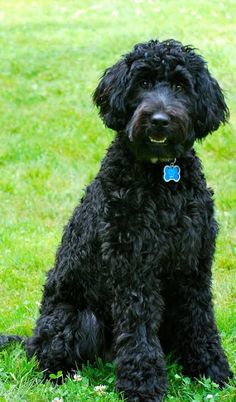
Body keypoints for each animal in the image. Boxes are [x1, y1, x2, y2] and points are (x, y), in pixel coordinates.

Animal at [0, 39, 232, 400]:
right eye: (144, 83)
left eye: (181, 86)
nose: (159, 120)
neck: (160, 179)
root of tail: (32, 337)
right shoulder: (132, 271)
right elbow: (138, 335)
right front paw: (142, 386)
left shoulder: (193, 267)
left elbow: (201, 321)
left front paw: (212, 372)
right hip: (77, 318)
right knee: (47, 359)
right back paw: (61, 378)